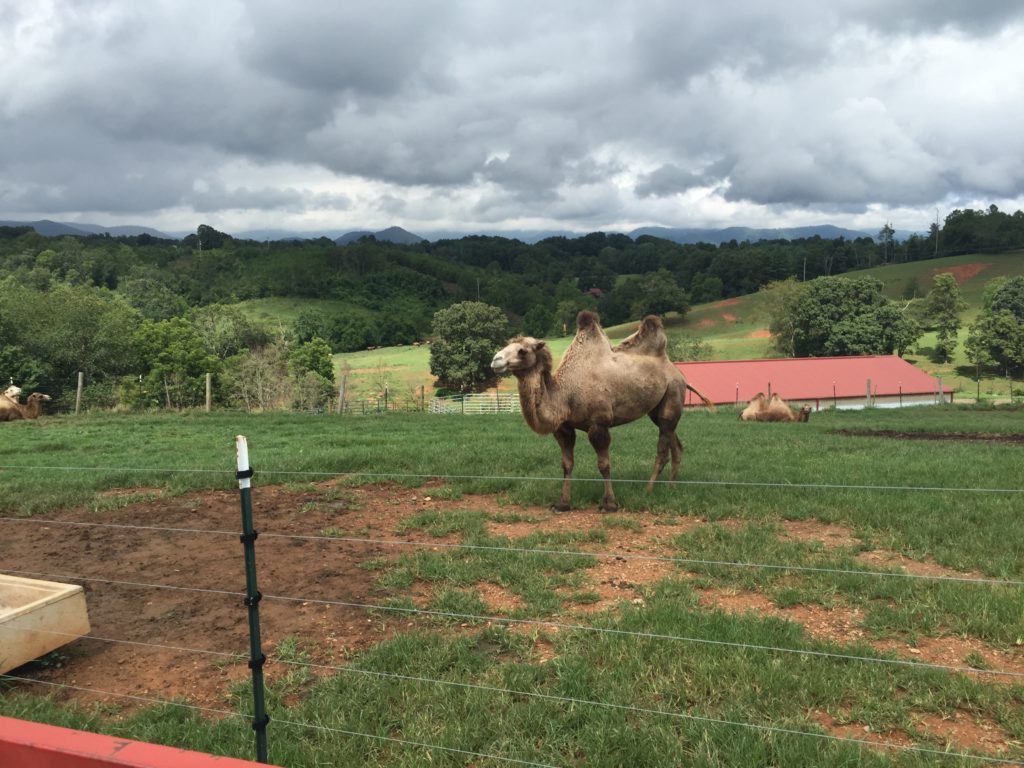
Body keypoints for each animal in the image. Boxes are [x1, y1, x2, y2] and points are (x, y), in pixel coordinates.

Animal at [491, 309, 716, 514]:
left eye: (522, 351)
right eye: (507, 345)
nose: (495, 360)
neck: (566, 394)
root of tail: (678, 373)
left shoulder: (599, 424)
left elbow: (604, 464)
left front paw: (609, 504)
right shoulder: (564, 428)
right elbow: (567, 464)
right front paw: (562, 503)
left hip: (672, 394)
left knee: (662, 448)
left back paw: (649, 490)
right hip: (658, 409)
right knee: (675, 444)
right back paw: (671, 486)